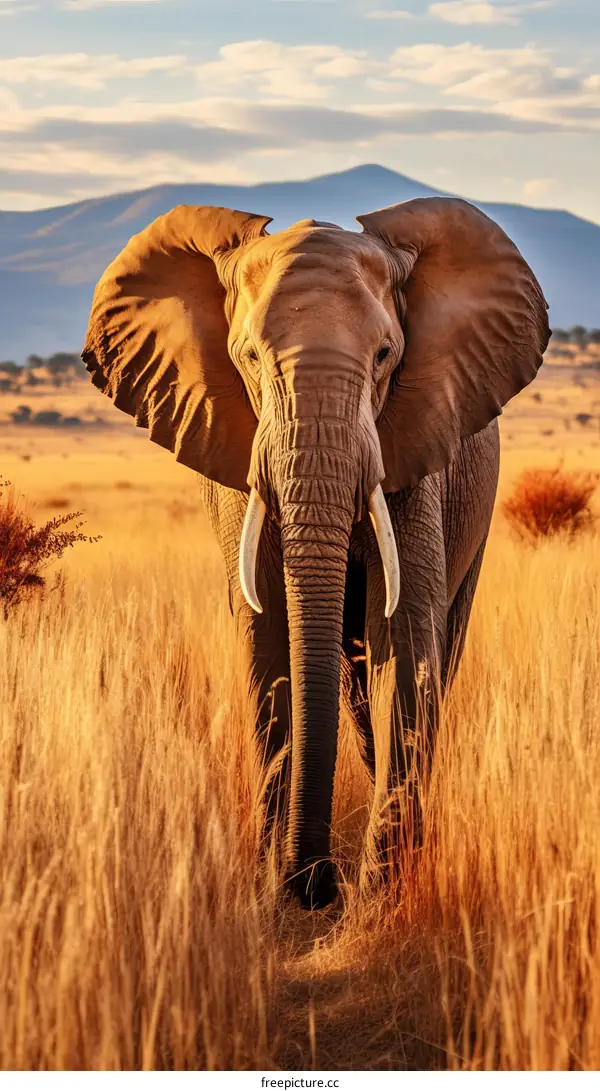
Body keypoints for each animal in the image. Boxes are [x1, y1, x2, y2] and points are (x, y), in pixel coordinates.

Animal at [81, 196, 549, 910]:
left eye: (386, 355)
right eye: (248, 357)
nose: (318, 885)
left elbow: (402, 641)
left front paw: (381, 896)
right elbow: (268, 641)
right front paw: (278, 889)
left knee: (435, 653)